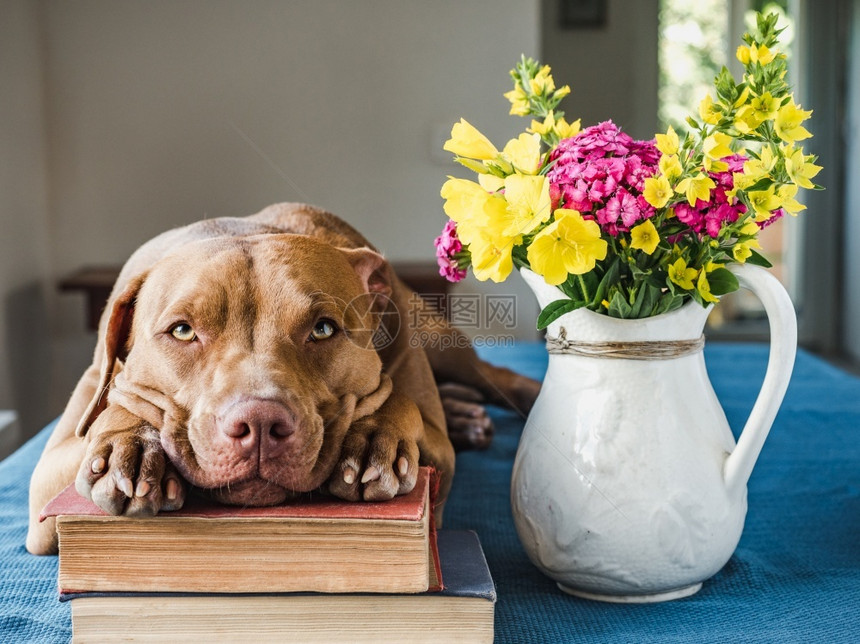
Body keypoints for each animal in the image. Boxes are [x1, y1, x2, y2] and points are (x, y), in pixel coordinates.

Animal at [26, 203, 540, 552]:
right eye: (183, 330)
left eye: (323, 329)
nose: (259, 423)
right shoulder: (48, 480)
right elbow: (116, 407)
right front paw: (131, 442)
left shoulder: (439, 451)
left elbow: (399, 400)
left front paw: (374, 438)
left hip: (438, 338)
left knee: (495, 375)